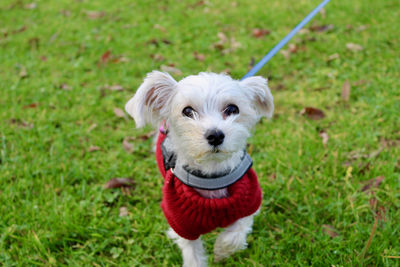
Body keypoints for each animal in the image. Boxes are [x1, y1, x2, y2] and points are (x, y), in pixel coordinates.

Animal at [126, 71, 274, 267]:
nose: (215, 135)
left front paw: (221, 251)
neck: (212, 179)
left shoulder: (249, 203)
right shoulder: (182, 226)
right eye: (187, 111)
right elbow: (193, 256)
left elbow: (235, 234)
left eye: (232, 109)